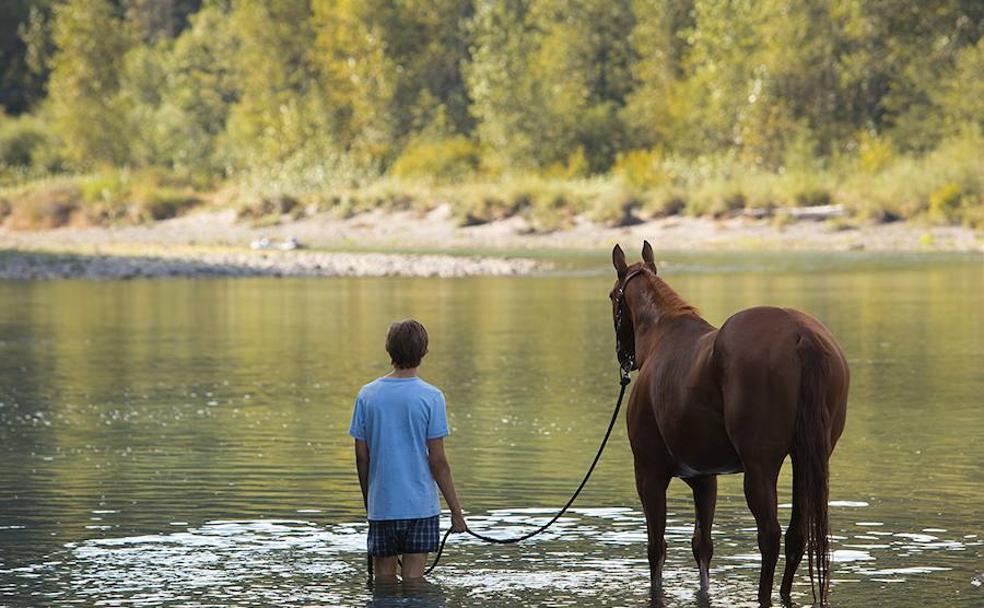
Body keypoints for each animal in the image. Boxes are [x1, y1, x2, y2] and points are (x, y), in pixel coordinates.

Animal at [608, 242, 844, 604]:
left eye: (611, 296)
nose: (624, 358)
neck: (664, 335)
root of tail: (801, 334)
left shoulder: (649, 475)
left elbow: (656, 548)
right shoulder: (705, 479)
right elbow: (702, 546)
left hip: (761, 467)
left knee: (770, 536)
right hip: (807, 460)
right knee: (796, 535)